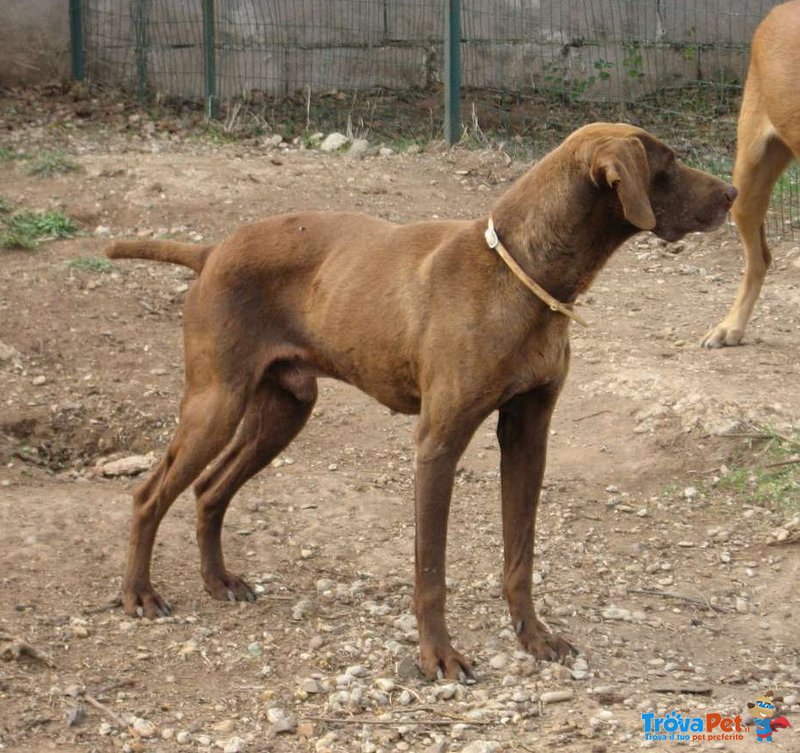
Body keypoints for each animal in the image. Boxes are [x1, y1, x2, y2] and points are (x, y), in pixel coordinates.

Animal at [108, 125, 736, 680]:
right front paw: (438, 656)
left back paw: (218, 581)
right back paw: (139, 593)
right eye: (668, 162)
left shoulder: (528, 435)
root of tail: (212, 250)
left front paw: (533, 637)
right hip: (215, 404)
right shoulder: (437, 444)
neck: (520, 274)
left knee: (209, 491)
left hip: (282, 411)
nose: (732, 192)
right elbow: (431, 571)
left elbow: (520, 558)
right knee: (148, 495)